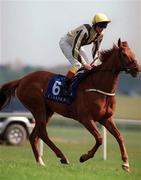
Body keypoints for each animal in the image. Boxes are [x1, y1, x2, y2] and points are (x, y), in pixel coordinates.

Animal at [0, 39, 140, 172]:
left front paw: (126, 163)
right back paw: (63, 157)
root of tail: (22, 80)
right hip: (38, 107)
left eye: (133, 53)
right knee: (42, 133)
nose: (137, 69)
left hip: (48, 111)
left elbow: (119, 136)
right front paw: (84, 157)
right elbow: (100, 138)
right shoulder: (85, 118)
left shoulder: (106, 118)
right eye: (123, 54)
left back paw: (41, 162)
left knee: (34, 135)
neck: (99, 87)